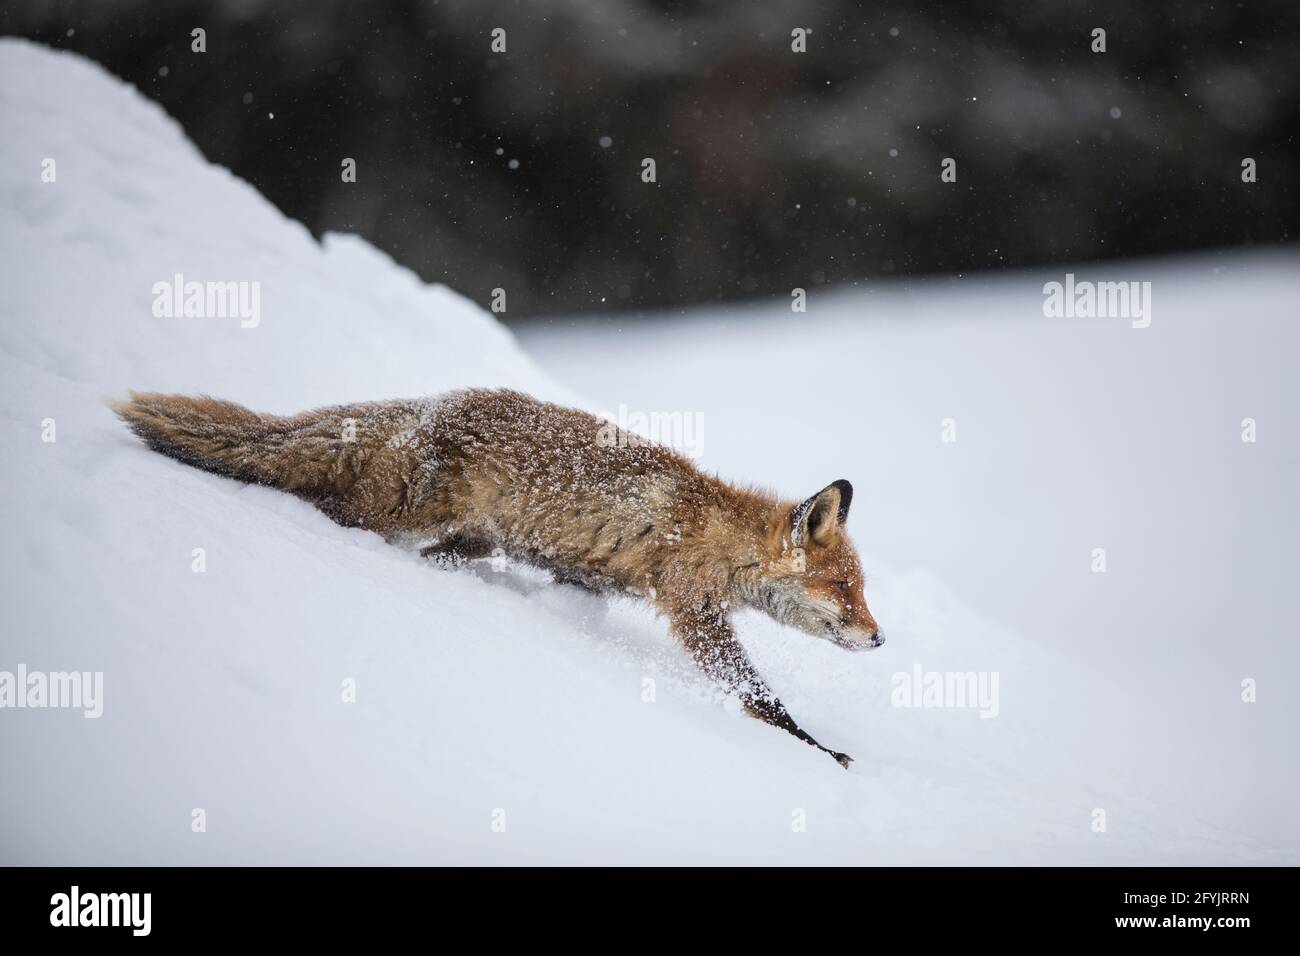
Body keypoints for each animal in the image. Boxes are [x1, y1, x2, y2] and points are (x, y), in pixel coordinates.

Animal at [111, 385, 883, 764]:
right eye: (844, 590)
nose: (880, 640)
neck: (718, 535)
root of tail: (430, 402)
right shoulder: (692, 607)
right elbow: (757, 694)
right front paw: (812, 747)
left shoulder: (587, 578)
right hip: (391, 510)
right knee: (329, 505)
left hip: (471, 539)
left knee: (434, 555)